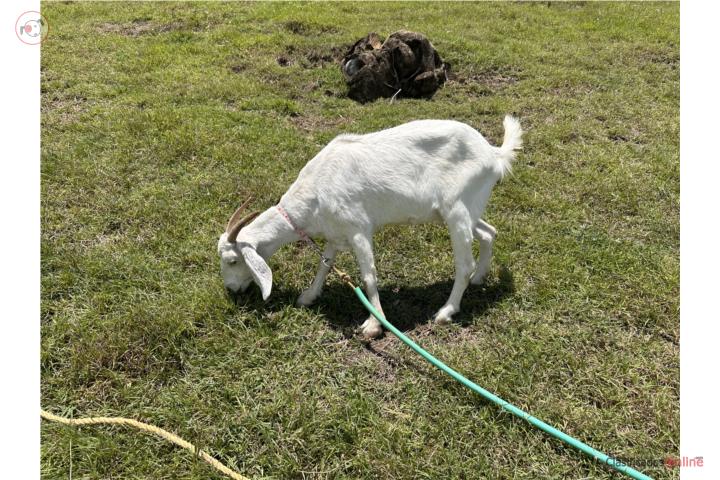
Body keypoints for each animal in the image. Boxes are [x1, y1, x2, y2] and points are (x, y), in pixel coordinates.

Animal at [217, 115, 523, 338]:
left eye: (233, 260)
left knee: (464, 263)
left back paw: (446, 311)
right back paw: (480, 277)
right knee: (489, 232)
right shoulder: (335, 232)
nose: (231, 289)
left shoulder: (358, 228)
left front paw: (374, 324)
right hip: (462, 210)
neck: (314, 192)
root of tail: (494, 153)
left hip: (456, 210)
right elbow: (325, 264)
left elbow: (368, 275)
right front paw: (309, 296)